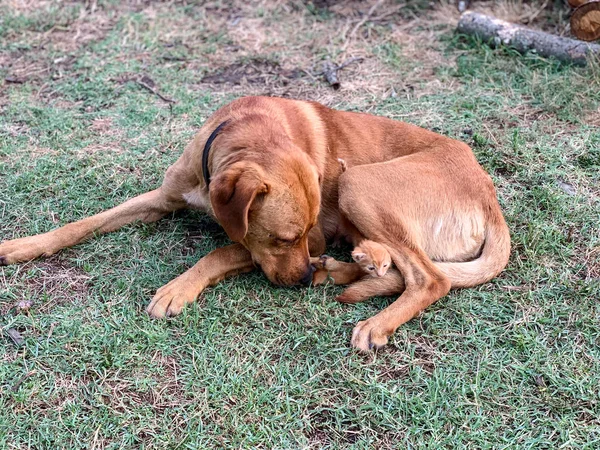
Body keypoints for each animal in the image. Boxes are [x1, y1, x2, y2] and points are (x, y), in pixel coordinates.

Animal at [0, 96, 510, 352]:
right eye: (286, 237)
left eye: (301, 235)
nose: (303, 279)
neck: (250, 133)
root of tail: (488, 193)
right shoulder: (161, 200)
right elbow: (82, 224)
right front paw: (24, 245)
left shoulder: (287, 238)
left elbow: (221, 249)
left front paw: (177, 289)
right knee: (399, 270)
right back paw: (346, 268)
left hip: (357, 183)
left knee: (430, 277)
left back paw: (372, 318)